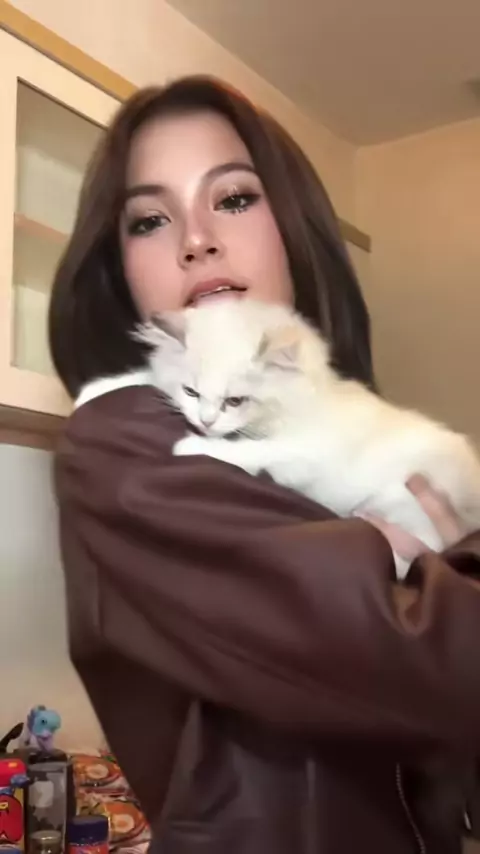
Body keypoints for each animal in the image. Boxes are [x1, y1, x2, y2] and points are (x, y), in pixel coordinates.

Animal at [136, 298, 480, 578]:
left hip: (401, 505)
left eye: (235, 401)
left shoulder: (302, 451)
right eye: (191, 392)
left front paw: (191, 445)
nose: (205, 422)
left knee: (416, 553)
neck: (303, 397)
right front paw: (123, 382)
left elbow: (248, 451)